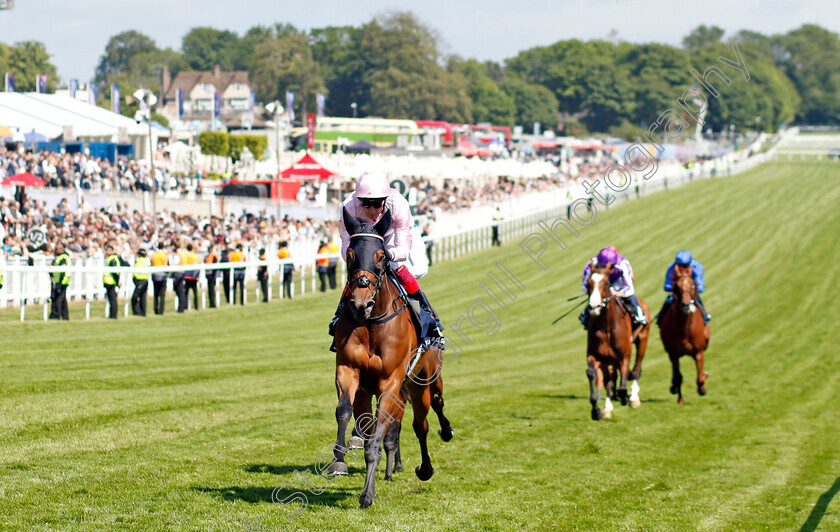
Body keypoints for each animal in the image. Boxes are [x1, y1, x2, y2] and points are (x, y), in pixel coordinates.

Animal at [326, 207, 452, 508]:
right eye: (349, 255)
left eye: (381, 256)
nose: (361, 304)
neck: (372, 323)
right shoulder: (349, 371)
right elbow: (345, 412)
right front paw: (338, 460)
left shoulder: (391, 382)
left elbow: (377, 438)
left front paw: (367, 494)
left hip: (423, 381)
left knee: (425, 419)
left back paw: (429, 461)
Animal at [584, 260, 648, 420]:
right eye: (588, 283)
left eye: (606, 283)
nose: (593, 307)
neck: (607, 326)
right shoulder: (596, 355)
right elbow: (592, 374)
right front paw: (597, 410)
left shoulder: (624, 355)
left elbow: (623, 386)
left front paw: (626, 397)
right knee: (609, 379)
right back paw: (608, 408)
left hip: (642, 340)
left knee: (636, 370)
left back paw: (633, 398)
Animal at [656, 264, 708, 406]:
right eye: (677, 286)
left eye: (692, 285)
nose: (685, 304)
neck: (683, 328)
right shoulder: (673, 354)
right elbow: (678, 377)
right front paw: (680, 398)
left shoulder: (698, 352)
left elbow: (699, 376)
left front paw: (702, 388)